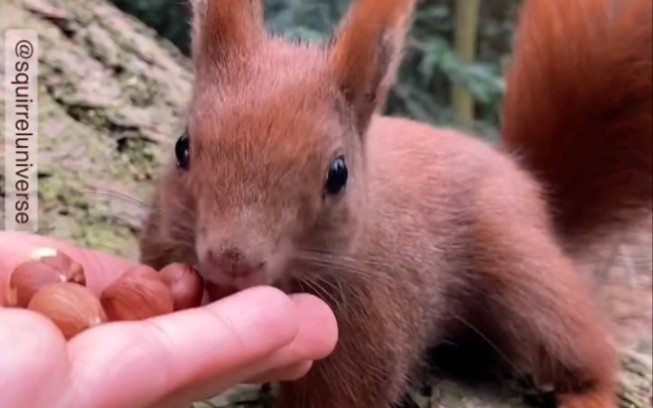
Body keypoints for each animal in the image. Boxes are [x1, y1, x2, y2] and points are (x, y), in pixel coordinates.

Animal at [139, 0, 652, 406]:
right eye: (182, 147)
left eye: (338, 174)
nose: (233, 260)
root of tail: (527, 182)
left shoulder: (365, 332)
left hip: (520, 267)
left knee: (579, 343)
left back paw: (588, 393)